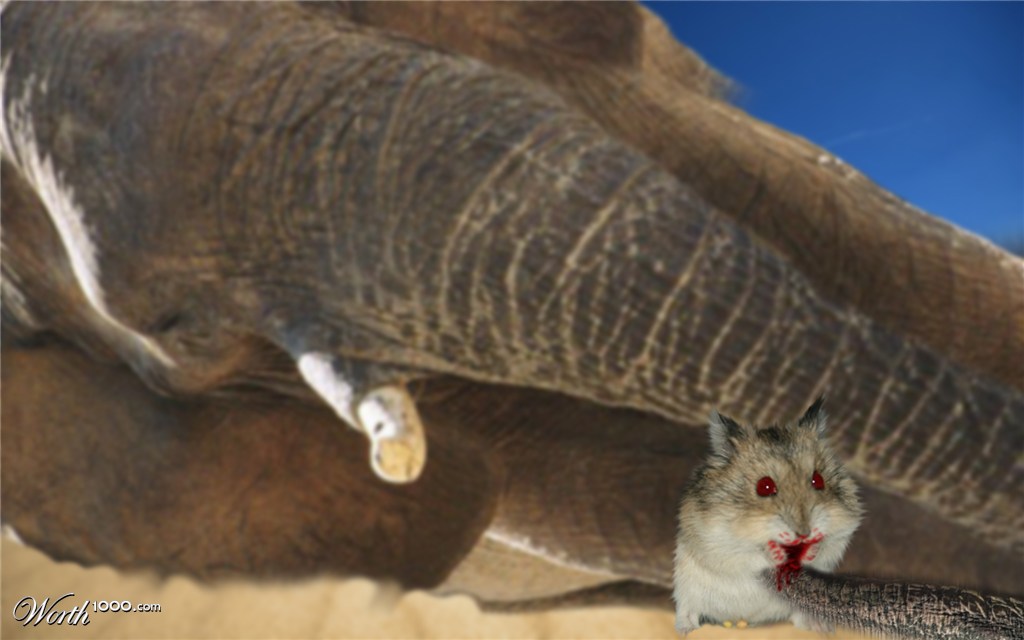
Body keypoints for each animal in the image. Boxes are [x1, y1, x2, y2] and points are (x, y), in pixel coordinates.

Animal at [673, 397, 863, 635]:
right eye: (764, 486)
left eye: (818, 480)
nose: (804, 533)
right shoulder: (718, 543)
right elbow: (755, 554)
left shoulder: (841, 535)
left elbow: (826, 546)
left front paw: (811, 548)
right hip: (687, 589)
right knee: (689, 611)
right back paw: (686, 629)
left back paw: (820, 628)